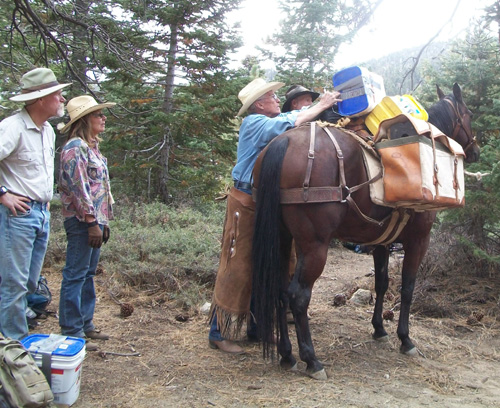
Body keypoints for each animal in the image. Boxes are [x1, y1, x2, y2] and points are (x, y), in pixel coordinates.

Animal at [254, 83, 480, 380]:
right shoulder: (419, 240)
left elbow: (381, 283)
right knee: (298, 295)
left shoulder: (382, 242)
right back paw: (312, 360)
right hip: (314, 245)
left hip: (283, 238)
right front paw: (405, 339)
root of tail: (283, 143)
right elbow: (407, 287)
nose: (476, 151)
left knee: (279, 291)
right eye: (469, 115)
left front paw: (379, 328)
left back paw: (286, 354)